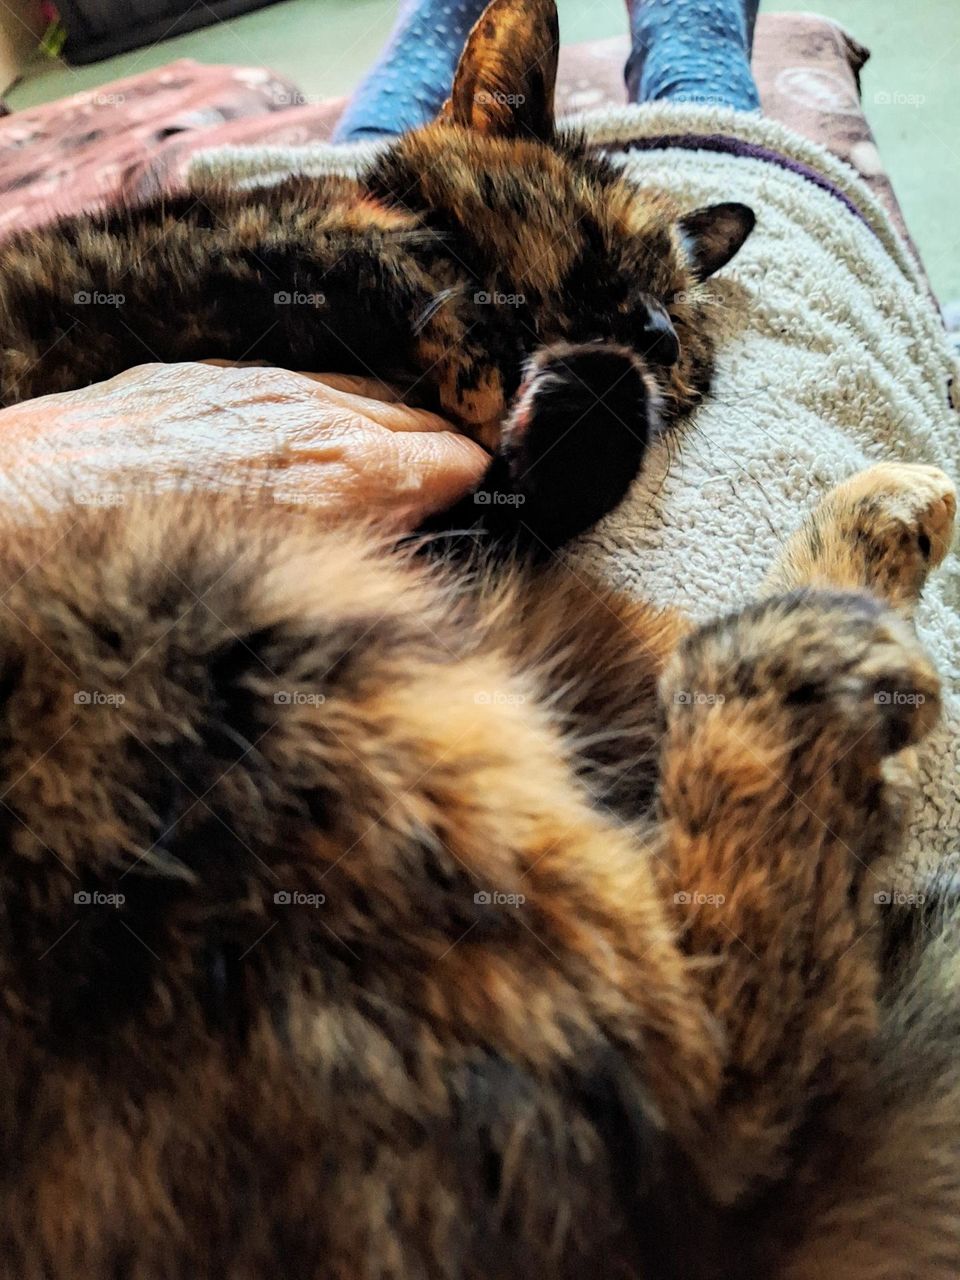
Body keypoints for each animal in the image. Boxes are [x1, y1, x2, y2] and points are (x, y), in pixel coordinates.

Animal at [0, 0, 757, 545]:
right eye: (595, 240)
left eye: (680, 324)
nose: (659, 334)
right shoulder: (222, 236)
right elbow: (398, 258)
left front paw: (597, 403)